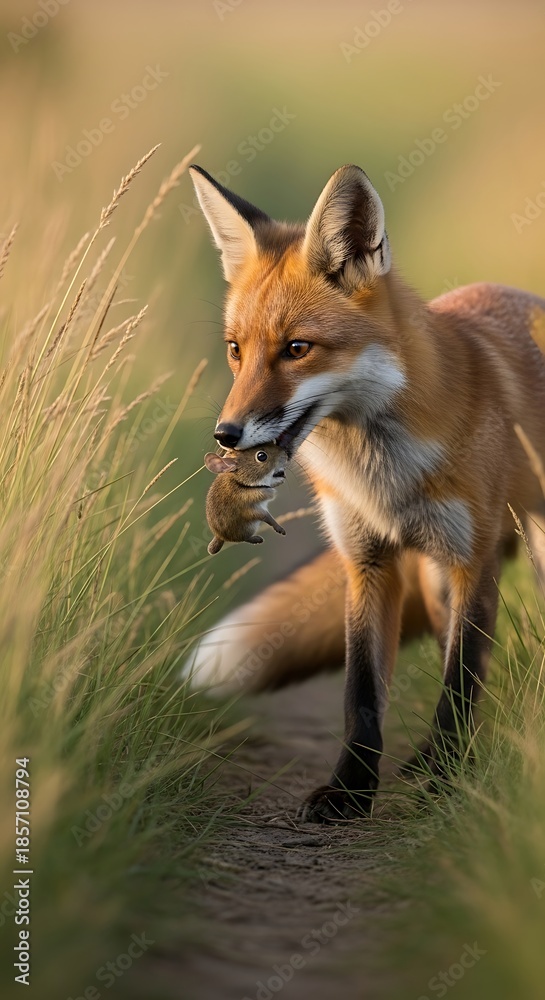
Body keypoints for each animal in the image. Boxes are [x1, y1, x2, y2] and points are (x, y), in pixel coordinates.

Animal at [186, 161, 545, 823]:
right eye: (235, 350)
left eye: (297, 349)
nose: (226, 435)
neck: (382, 476)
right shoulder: (368, 561)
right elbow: (362, 694)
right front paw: (350, 789)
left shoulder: (472, 559)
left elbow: (460, 682)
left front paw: (442, 778)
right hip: (430, 581)